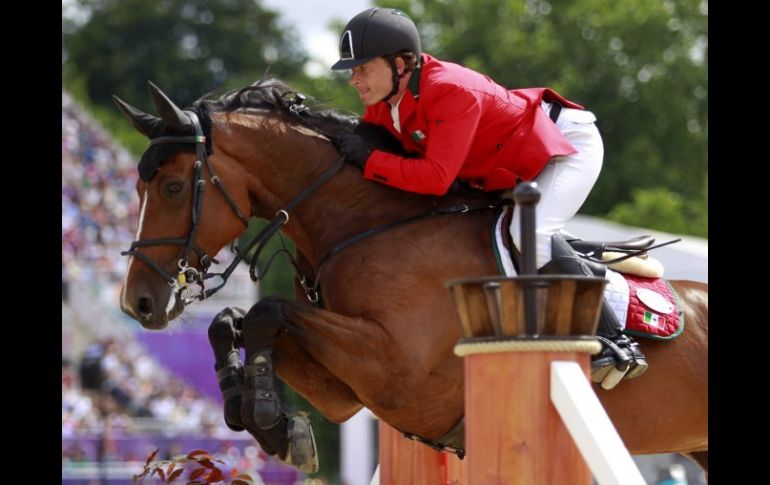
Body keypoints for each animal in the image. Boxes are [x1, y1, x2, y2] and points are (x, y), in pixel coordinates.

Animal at [114, 78, 708, 472]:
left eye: (172, 187)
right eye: (140, 187)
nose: (137, 303)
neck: (368, 224)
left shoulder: (396, 369)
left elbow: (266, 310)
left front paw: (264, 412)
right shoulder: (351, 390)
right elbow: (234, 321)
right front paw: (268, 421)